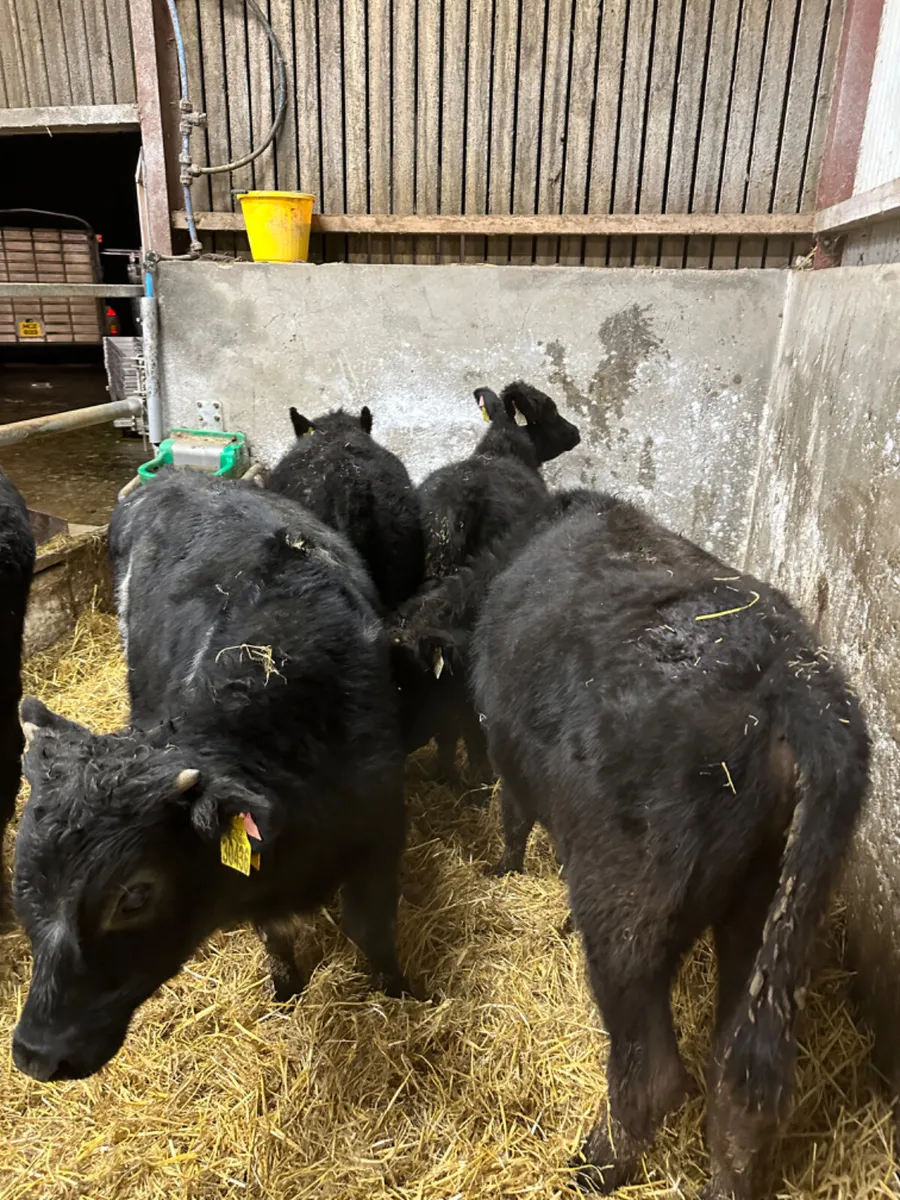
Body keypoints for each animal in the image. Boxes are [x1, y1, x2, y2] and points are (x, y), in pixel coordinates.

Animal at [12, 470, 414, 1083]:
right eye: (22, 877)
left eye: (135, 896)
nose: (36, 1053)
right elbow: (276, 933)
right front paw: (286, 991)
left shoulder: (383, 831)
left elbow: (373, 932)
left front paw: (400, 993)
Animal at [472, 490, 869, 1200]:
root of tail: (793, 681)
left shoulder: (504, 752)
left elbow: (513, 822)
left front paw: (501, 872)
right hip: (770, 913)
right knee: (739, 1081)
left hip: (630, 916)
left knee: (652, 1075)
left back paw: (594, 1167)